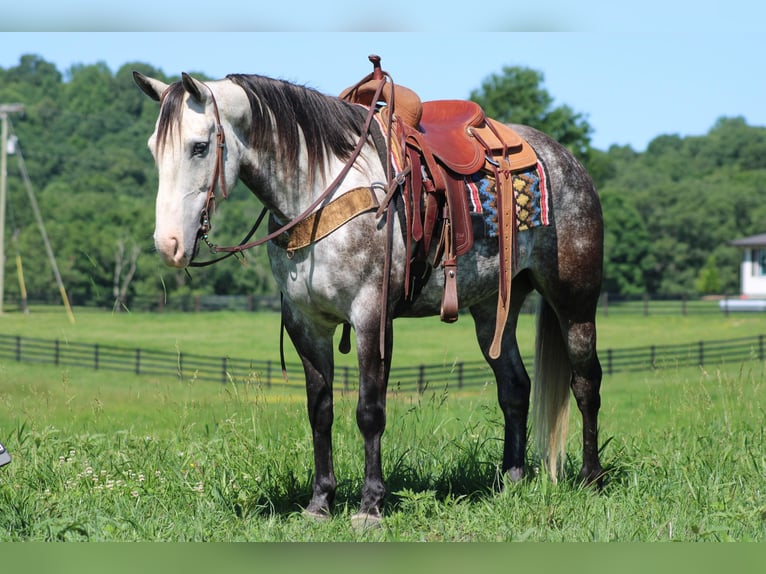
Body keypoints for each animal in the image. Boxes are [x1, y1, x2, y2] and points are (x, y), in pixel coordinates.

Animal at [135, 66, 608, 528]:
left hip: (575, 302)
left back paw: (591, 479)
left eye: (199, 147)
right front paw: (320, 503)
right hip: (493, 309)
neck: (320, 191)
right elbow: (320, 410)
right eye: (153, 149)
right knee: (514, 387)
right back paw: (511, 479)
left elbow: (369, 412)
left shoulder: (370, 318)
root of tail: (566, 160)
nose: (169, 245)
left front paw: (370, 506)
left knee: (586, 383)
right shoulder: (306, 323)